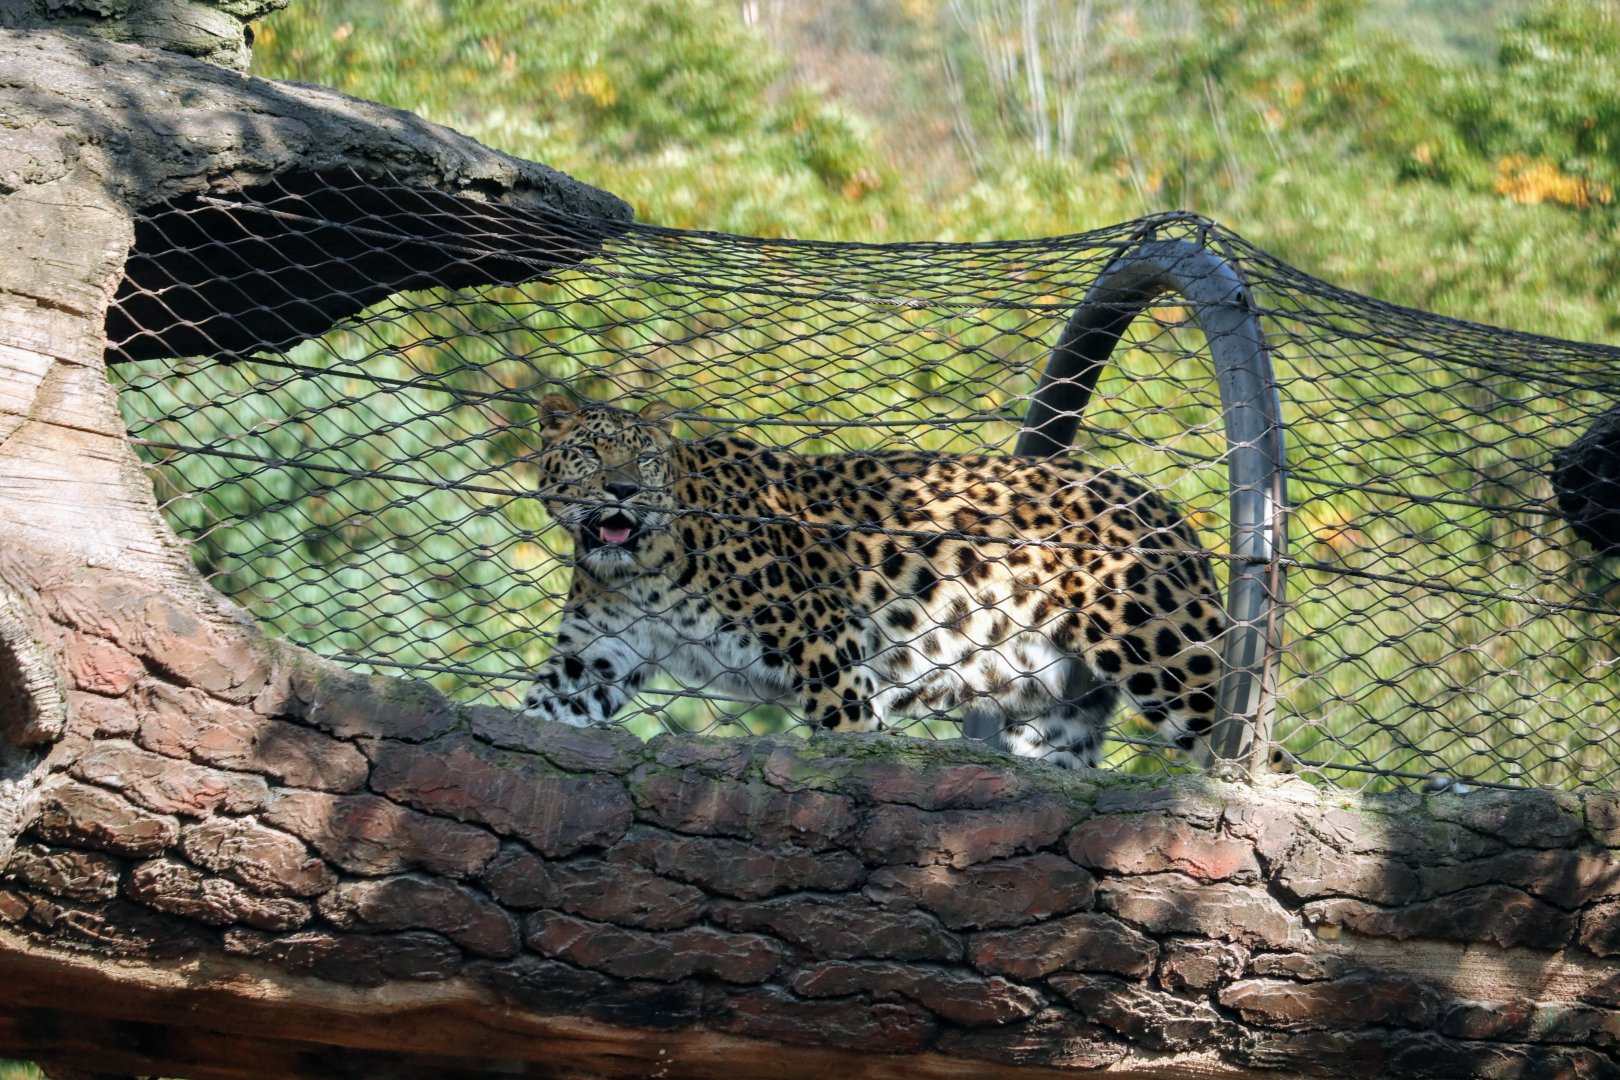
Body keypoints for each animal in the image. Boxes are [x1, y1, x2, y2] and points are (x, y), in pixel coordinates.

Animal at [520, 394, 1227, 768]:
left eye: (643, 459)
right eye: (587, 453)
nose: (621, 490)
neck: (642, 568)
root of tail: (1166, 507)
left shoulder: (825, 645)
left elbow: (846, 730)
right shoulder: (597, 656)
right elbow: (542, 709)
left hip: (1168, 656)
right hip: (1057, 711)